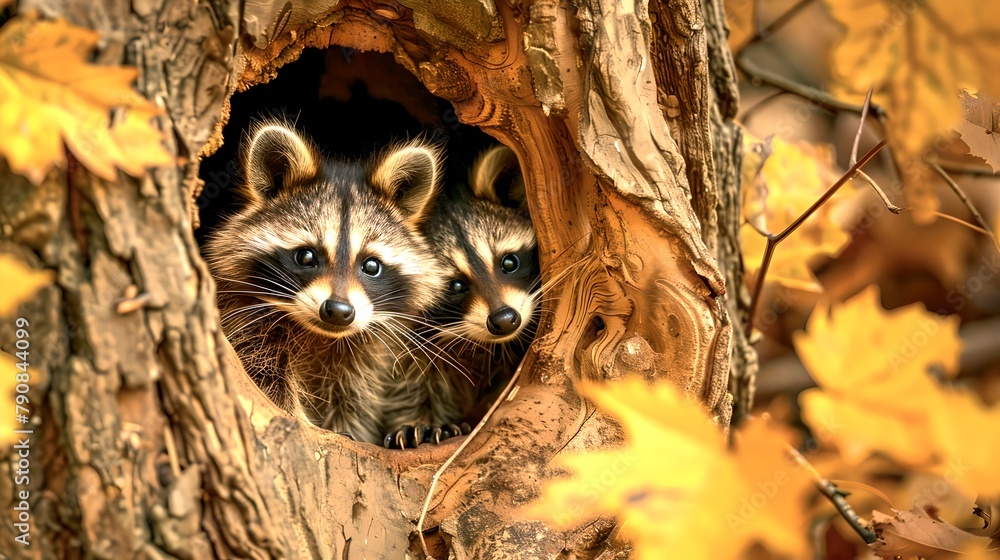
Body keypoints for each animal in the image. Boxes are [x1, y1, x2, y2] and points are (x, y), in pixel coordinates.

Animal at [203, 122, 448, 444]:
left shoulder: (364, 356)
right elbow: (268, 382)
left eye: (371, 266)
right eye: (306, 256)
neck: (320, 335)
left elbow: (355, 396)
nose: (339, 311)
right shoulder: (246, 324)